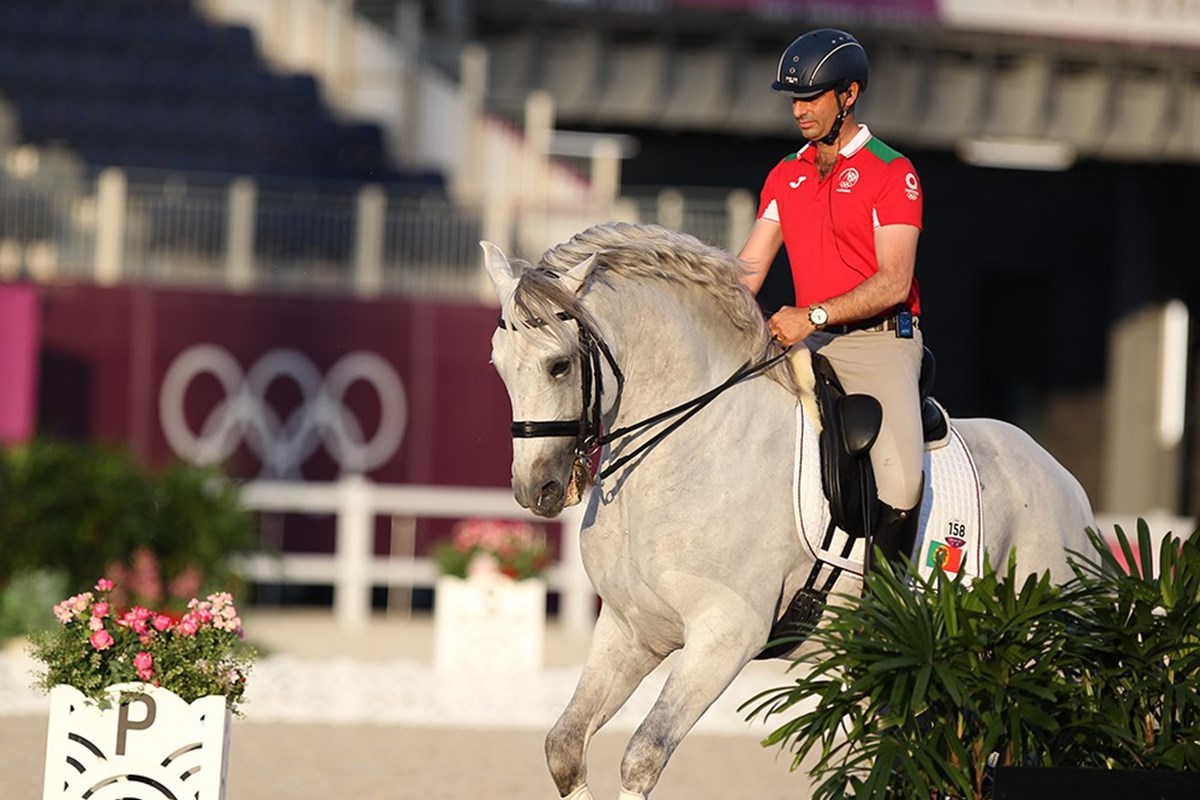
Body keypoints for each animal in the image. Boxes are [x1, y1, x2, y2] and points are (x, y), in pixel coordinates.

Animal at [480, 220, 1099, 800]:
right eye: (497, 365)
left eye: (560, 366)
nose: (536, 489)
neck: (689, 446)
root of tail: (1070, 486)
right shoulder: (632, 629)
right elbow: (564, 747)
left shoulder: (726, 636)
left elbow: (643, 756)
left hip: (1032, 652)